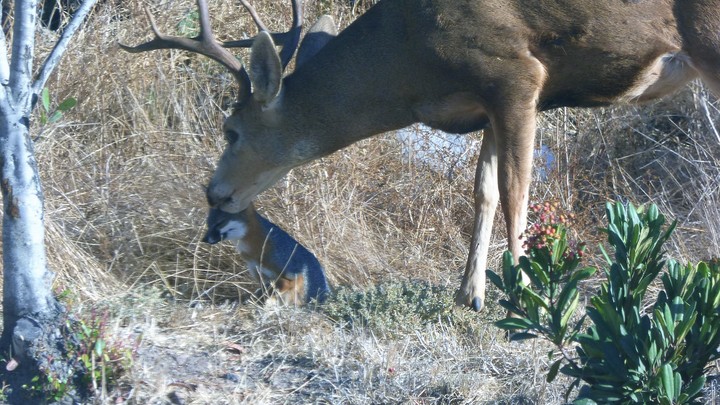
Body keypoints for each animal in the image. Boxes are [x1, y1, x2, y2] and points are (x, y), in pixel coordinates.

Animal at [122, 0, 720, 312]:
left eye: (230, 130)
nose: (213, 192)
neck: (409, 62)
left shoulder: (516, 73)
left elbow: (516, 192)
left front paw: (526, 298)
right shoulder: (484, 104)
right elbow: (482, 191)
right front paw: (469, 293)